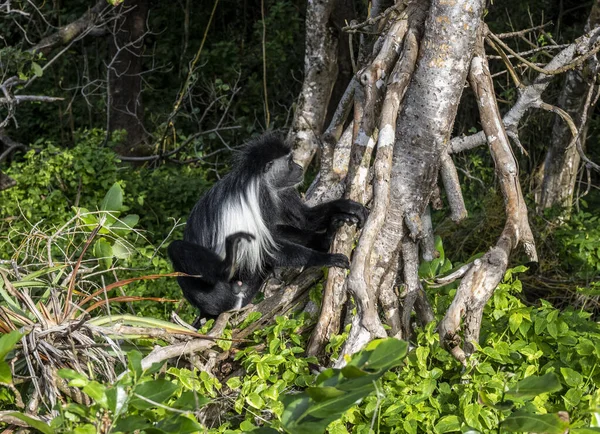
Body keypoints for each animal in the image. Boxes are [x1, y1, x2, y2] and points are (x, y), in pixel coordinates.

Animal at [166, 136, 368, 318]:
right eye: (289, 161)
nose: (299, 168)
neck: (262, 180)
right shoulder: (261, 196)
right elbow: (268, 249)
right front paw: (325, 259)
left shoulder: (282, 191)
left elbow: (305, 219)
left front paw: (350, 207)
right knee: (177, 248)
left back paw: (327, 236)